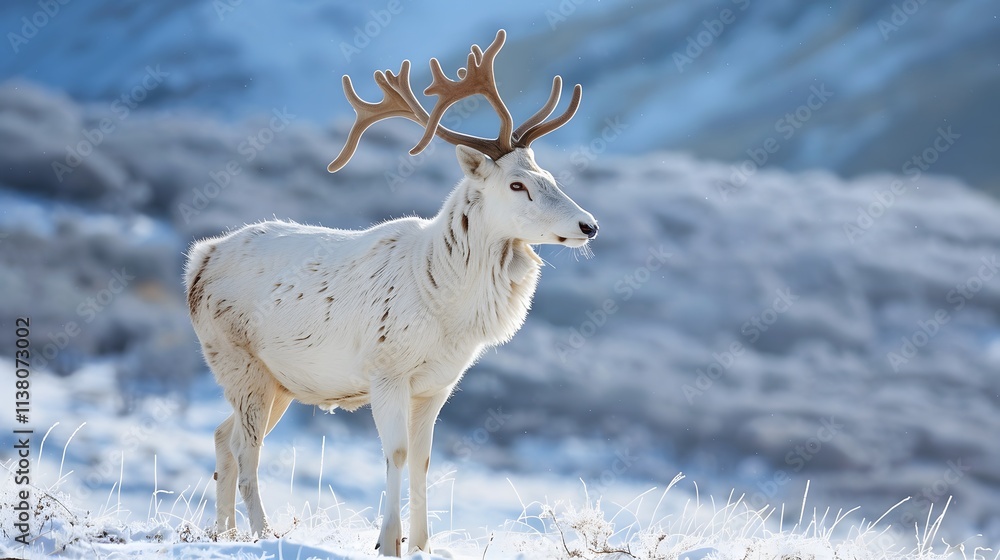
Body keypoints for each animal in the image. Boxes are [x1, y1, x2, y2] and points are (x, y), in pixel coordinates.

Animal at [184, 29, 597, 556]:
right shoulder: (386, 371)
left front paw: (422, 544)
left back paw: (226, 532)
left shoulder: (437, 385)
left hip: (278, 382)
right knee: (245, 447)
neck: (448, 308)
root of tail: (200, 260)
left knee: (222, 436)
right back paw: (261, 532)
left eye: (550, 178)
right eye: (517, 184)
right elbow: (396, 454)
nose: (589, 225)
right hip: (239, 361)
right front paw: (387, 542)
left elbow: (423, 461)